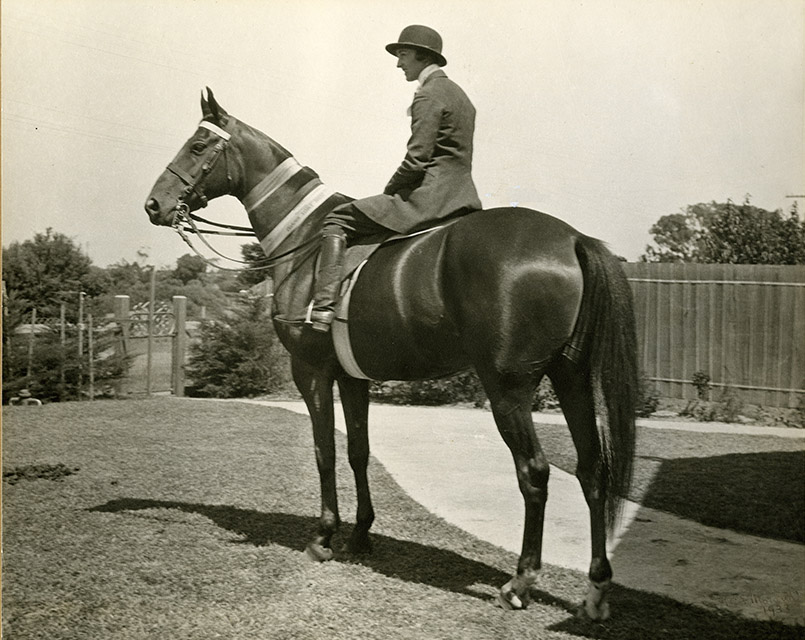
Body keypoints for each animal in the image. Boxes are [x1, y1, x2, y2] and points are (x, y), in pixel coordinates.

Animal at [143, 90, 636, 620]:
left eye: (197, 146)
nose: (154, 204)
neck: (305, 238)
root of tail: (571, 238)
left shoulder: (310, 371)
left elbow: (324, 450)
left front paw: (324, 536)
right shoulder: (352, 377)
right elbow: (357, 450)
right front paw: (360, 534)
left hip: (508, 389)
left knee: (535, 473)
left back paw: (520, 582)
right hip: (571, 378)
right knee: (592, 470)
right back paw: (595, 592)